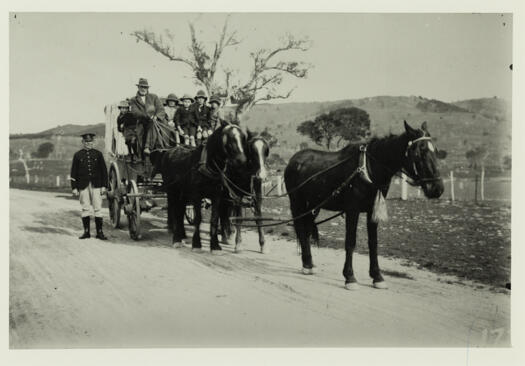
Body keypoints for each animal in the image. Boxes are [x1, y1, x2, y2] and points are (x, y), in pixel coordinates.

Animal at [151, 123, 248, 252]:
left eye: (243, 138)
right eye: (230, 138)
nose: (242, 160)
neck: (208, 166)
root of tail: (168, 151)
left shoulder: (217, 196)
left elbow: (214, 219)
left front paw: (215, 246)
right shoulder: (197, 195)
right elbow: (198, 219)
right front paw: (196, 244)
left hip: (183, 193)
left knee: (180, 212)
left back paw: (182, 235)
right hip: (172, 191)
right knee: (174, 212)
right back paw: (176, 239)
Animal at [284, 121, 444, 290]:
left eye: (435, 151)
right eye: (419, 152)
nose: (437, 188)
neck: (367, 168)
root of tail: (294, 160)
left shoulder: (372, 211)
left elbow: (373, 243)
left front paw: (377, 277)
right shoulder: (352, 211)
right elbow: (350, 242)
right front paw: (350, 277)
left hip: (313, 207)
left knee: (307, 230)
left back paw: (308, 263)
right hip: (297, 204)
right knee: (301, 230)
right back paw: (306, 265)